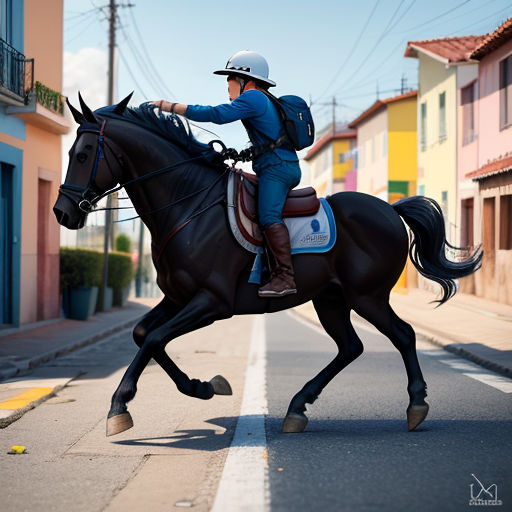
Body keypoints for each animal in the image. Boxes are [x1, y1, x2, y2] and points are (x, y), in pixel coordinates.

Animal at [54, 95, 482, 436]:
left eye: (83, 154)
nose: (62, 212)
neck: (188, 203)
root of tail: (391, 210)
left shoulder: (211, 302)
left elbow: (154, 339)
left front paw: (119, 406)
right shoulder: (177, 297)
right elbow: (144, 334)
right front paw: (202, 386)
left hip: (368, 297)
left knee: (403, 335)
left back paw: (416, 404)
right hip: (331, 300)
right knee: (351, 346)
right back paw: (297, 407)